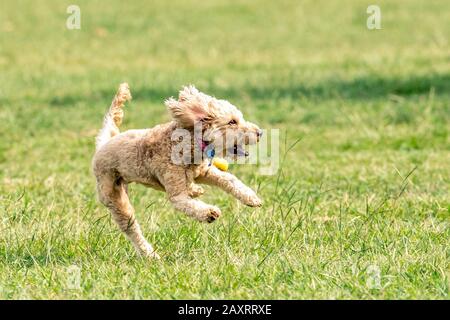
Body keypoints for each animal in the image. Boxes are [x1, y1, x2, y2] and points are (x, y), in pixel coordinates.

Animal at [92, 84, 262, 258]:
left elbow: (229, 179)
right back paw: (150, 255)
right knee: (131, 228)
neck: (189, 141)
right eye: (232, 122)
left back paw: (195, 189)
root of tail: (104, 143)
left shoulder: (204, 172)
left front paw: (251, 198)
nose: (260, 133)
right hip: (114, 196)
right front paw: (209, 213)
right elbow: (185, 202)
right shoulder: (176, 189)